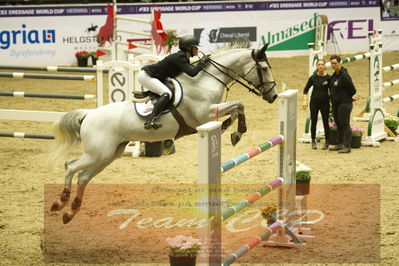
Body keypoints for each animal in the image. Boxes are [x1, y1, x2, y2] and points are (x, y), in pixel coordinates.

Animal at [47, 39, 278, 223]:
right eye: (264, 68)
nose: (274, 96)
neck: (205, 81)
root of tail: (88, 115)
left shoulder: (211, 113)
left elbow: (237, 108)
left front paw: (231, 129)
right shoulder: (204, 115)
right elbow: (239, 104)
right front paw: (237, 131)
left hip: (108, 155)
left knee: (83, 176)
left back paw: (70, 211)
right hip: (98, 153)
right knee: (70, 166)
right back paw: (60, 202)